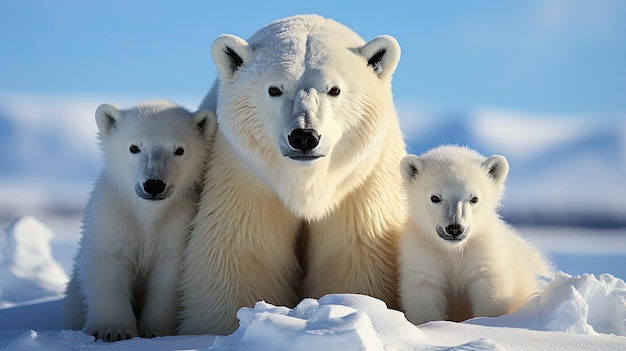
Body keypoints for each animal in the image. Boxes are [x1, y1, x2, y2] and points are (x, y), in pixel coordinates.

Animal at [62, 101, 216, 340]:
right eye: (134, 147)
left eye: (179, 150)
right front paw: (112, 330)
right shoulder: (113, 215)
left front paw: (153, 331)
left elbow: (169, 272)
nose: (154, 184)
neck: (147, 214)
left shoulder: (177, 223)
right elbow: (108, 260)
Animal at [178, 14, 408, 336]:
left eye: (334, 89)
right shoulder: (244, 183)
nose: (304, 136)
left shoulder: (361, 193)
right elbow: (239, 259)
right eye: (274, 89)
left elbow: (355, 262)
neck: (304, 186)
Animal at [398, 145, 548, 324]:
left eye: (474, 198)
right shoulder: (423, 251)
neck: (454, 250)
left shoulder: (483, 251)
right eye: (435, 197)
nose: (454, 228)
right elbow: (424, 288)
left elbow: (489, 290)